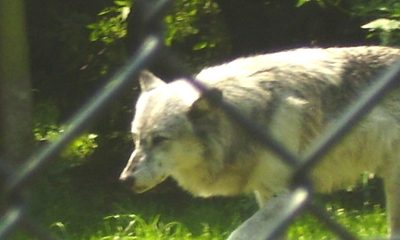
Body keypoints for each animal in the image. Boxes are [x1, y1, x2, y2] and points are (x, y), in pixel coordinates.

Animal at [120, 46, 400, 238]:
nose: (125, 180)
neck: (243, 122)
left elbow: (238, 234)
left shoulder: (287, 194)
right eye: (136, 139)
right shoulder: (266, 193)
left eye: (159, 140)